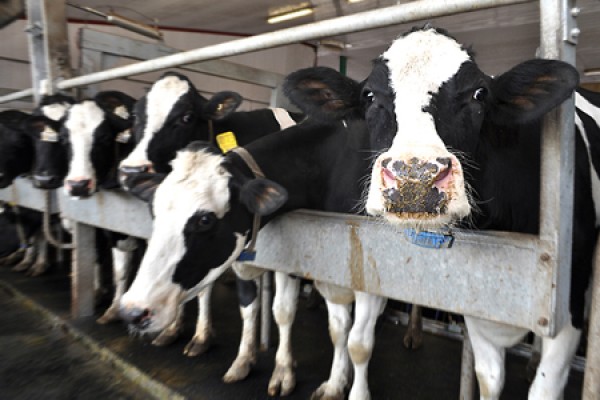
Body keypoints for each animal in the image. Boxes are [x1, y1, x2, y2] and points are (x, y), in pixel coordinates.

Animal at [119, 66, 386, 400]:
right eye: (136, 116)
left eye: (205, 220)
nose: (132, 311)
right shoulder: (314, 264)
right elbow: (329, 327)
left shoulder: (365, 272)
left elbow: (351, 340)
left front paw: (285, 372)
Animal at [360, 26, 592, 398]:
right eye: (368, 95)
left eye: (479, 94)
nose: (415, 175)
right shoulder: (477, 303)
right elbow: (489, 377)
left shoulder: (569, 303)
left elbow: (545, 386)